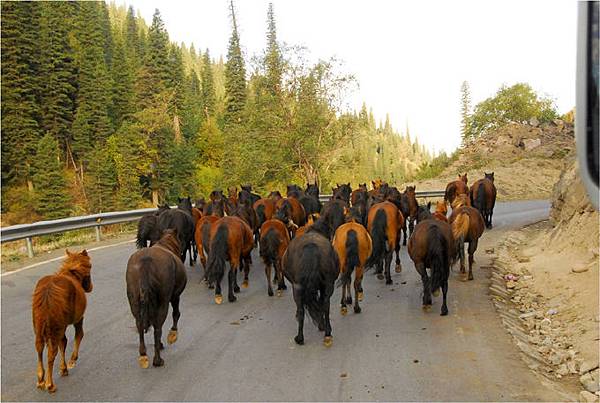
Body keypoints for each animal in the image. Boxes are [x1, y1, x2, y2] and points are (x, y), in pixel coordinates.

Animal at [31, 249, 92, 394]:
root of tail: (48, 292)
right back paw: (50, 384)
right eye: (90, 266)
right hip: (56, 327)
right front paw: (71, 362)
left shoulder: (62, 325)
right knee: (51, 353)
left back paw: (41, 379)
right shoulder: (78, 318)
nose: (90, 287)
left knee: (40, 347)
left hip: (40, 326)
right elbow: (78, 336)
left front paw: (63, 368)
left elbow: (63, 343)